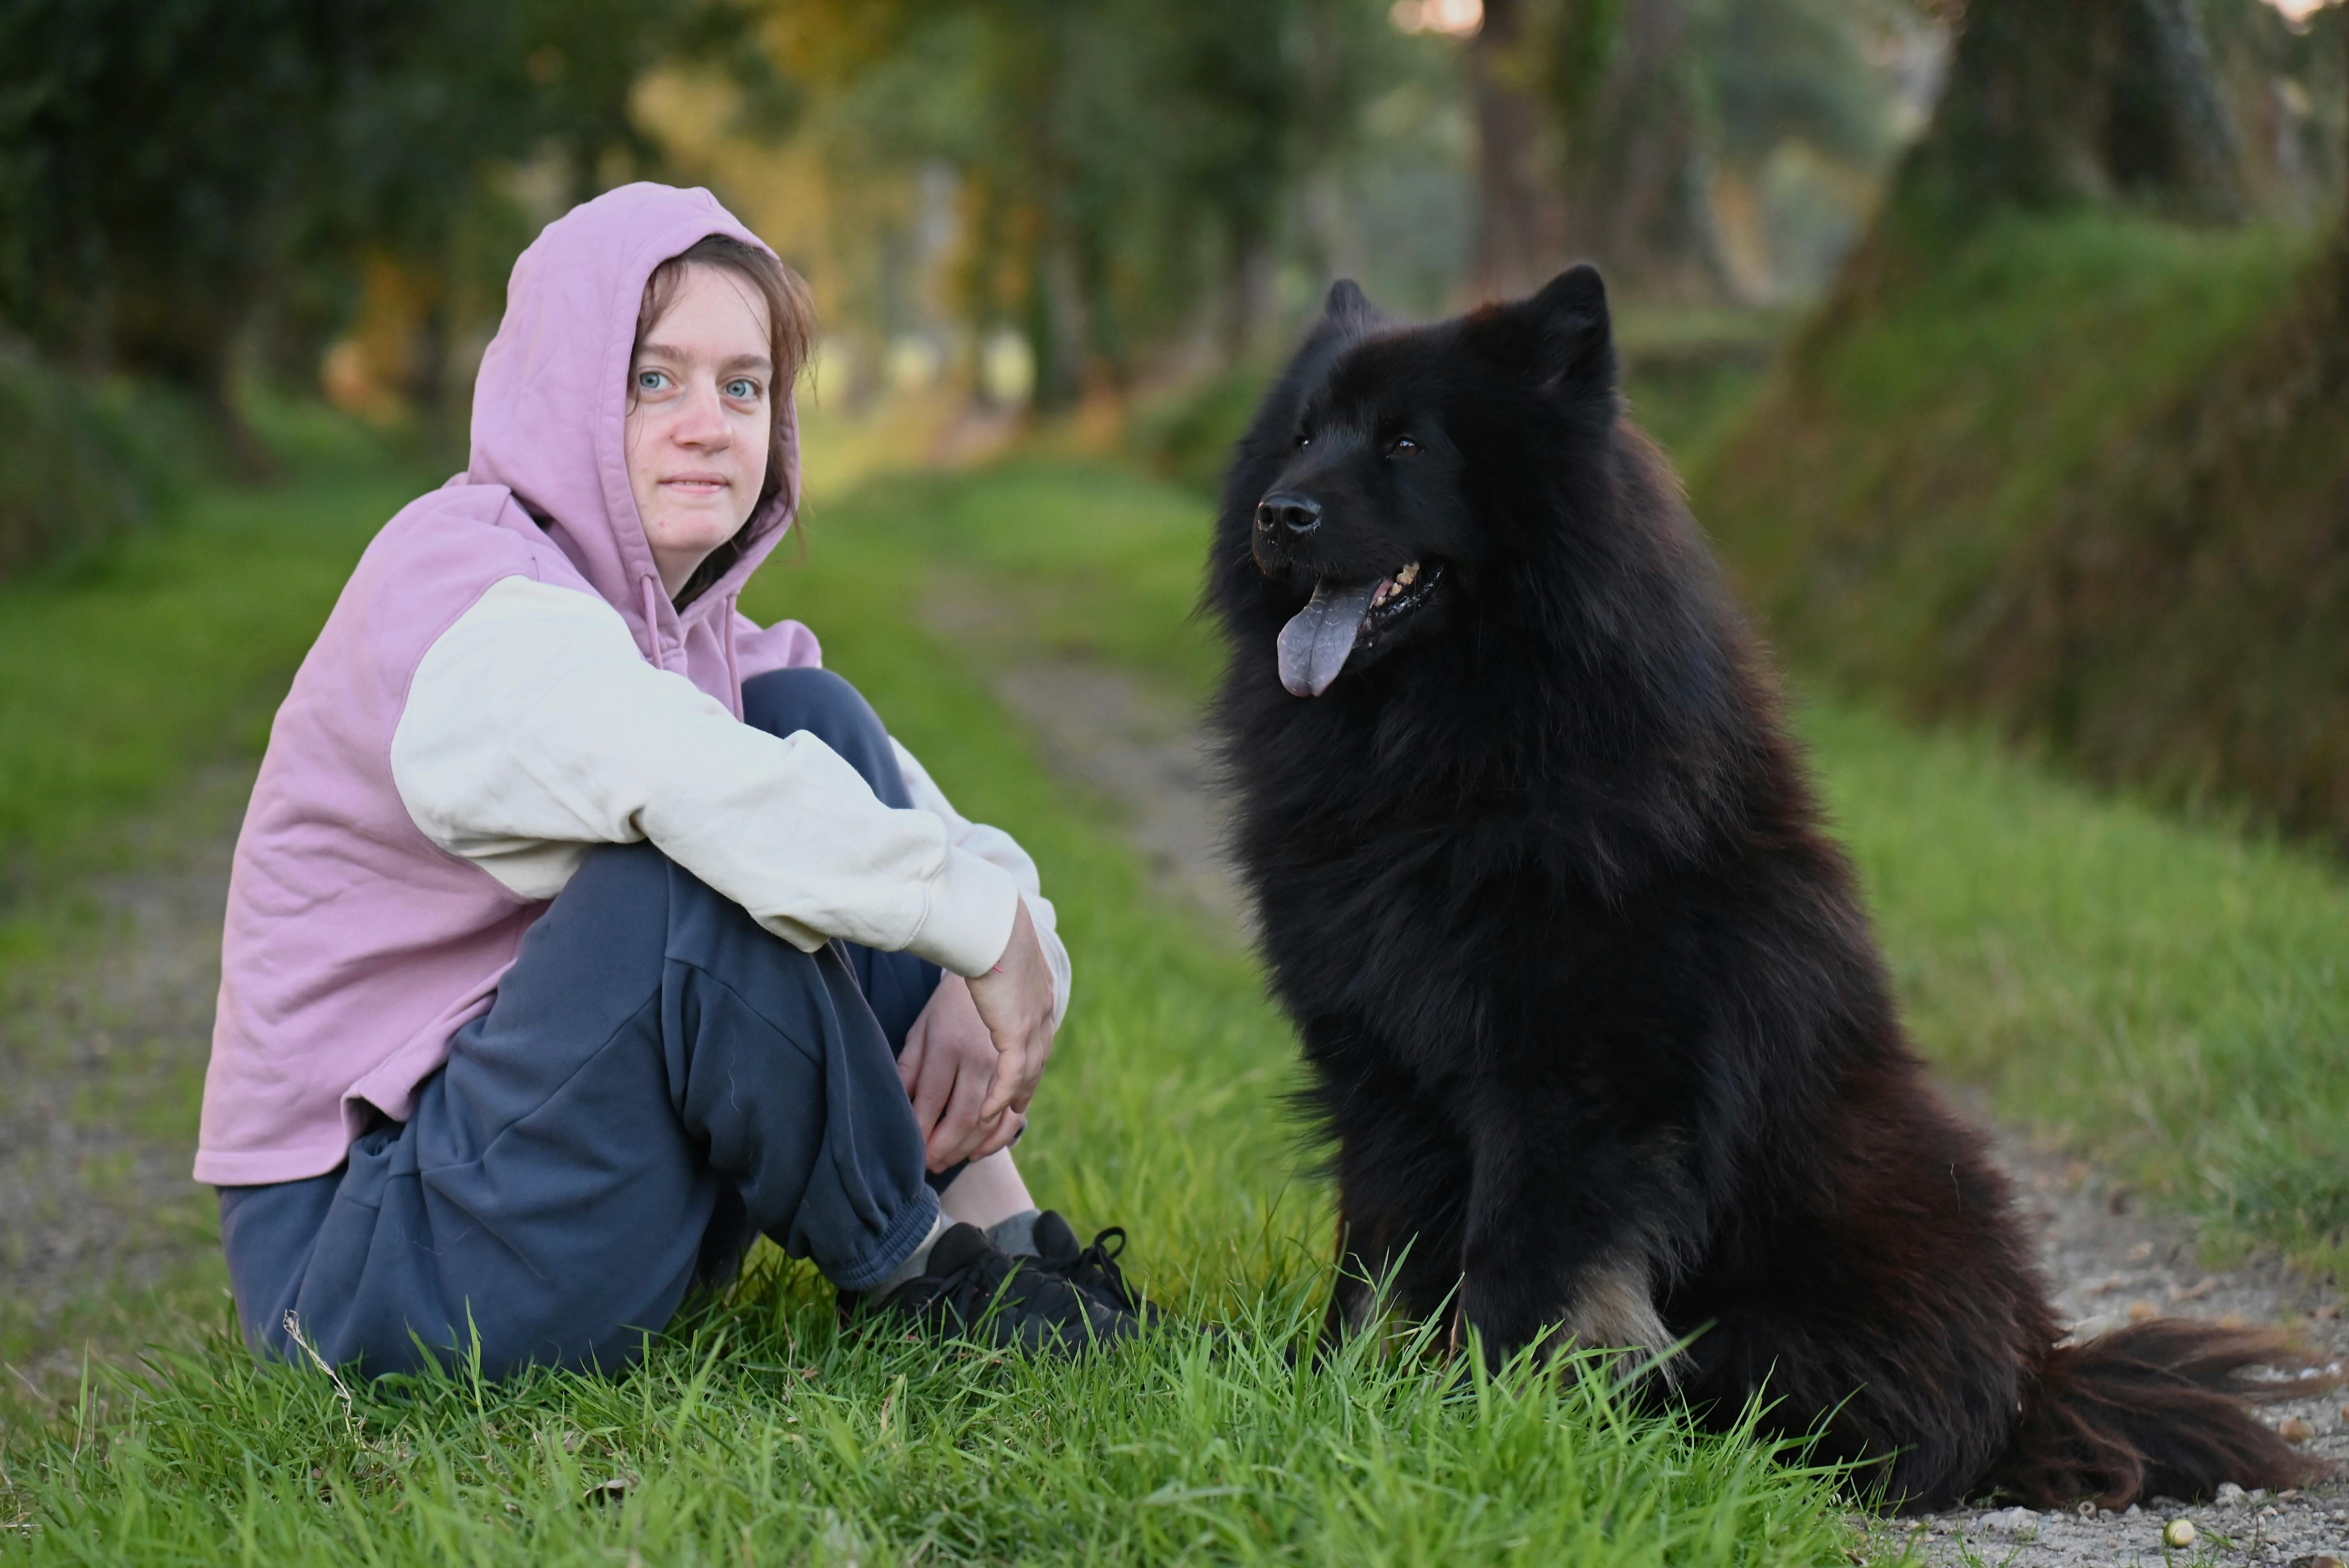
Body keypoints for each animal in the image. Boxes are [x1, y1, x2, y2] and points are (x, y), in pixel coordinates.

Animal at [1212, 266, 2330, 1502]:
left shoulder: (1567, 1090)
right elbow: (1373, 1264)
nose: (1280, 514)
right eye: (1302, 437)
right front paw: (1340, 1399)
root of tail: (2039, 1383)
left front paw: (1472, 1427)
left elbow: (1513, 1275)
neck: (1446, 750)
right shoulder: (1379, 1065)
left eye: (1406, 443)